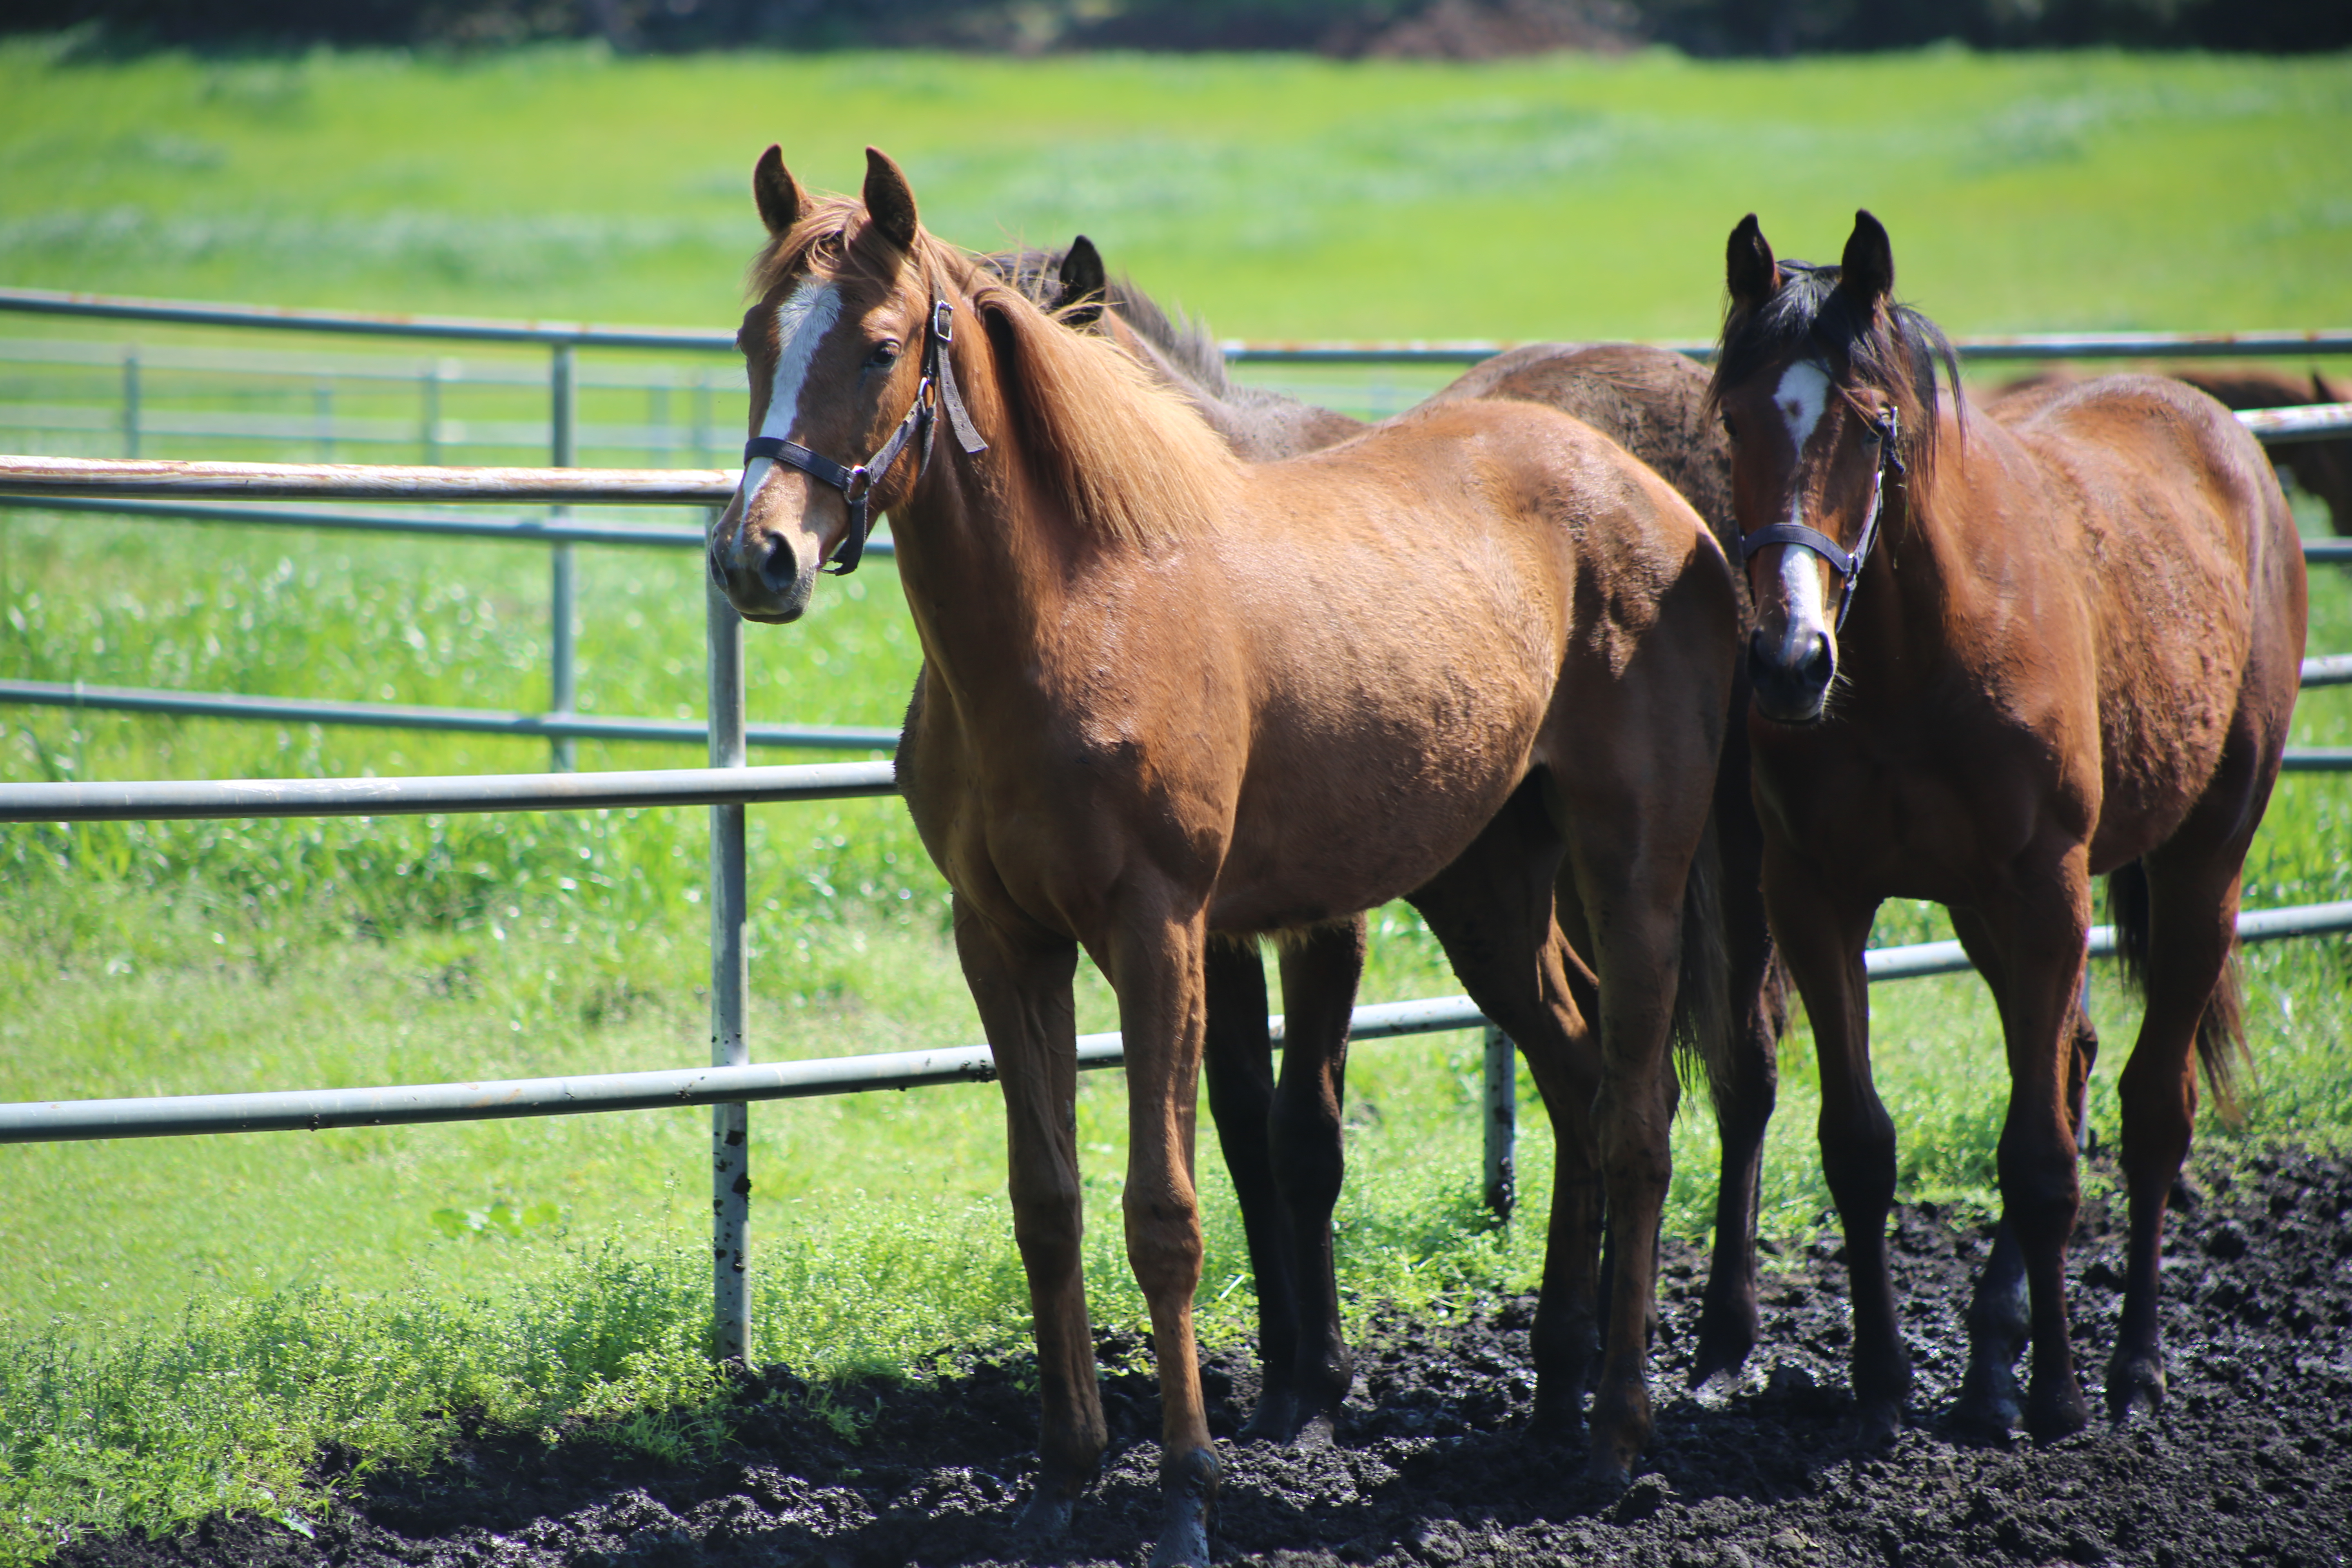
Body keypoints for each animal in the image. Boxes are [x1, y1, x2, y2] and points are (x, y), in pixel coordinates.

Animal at [715, 144, 1750, 1561]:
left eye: (878, 346)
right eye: (755, 338)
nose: (756, 558)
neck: (1081, 611)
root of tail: (1654, 501)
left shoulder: (1162, 933)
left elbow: (1169, 1214)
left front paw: (1187, 1494)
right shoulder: (1004, 940)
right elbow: (1048, 1204)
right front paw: (1062, 1476)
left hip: (1635, 865)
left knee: (1641, 1121)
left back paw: (1615, 1441)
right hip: (1488, 890)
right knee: (1584, 1081)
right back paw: (1552, 1403)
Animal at [1722, 215, 2305, 1439]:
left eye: (1872, 424)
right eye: (1734, 419)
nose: (1790, 662)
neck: (1913, 652)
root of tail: (2224, 438)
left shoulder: (2047, 892)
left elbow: (2039, 1161)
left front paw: (2060, 1392)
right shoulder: (1815, 898)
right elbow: (1858, 1146)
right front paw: (1882, 1380)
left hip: (2199, 871)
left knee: (2148, 1109)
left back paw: (2128, 1366)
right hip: (1984, 912)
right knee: (2071, 1063)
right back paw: (1992, 1352)